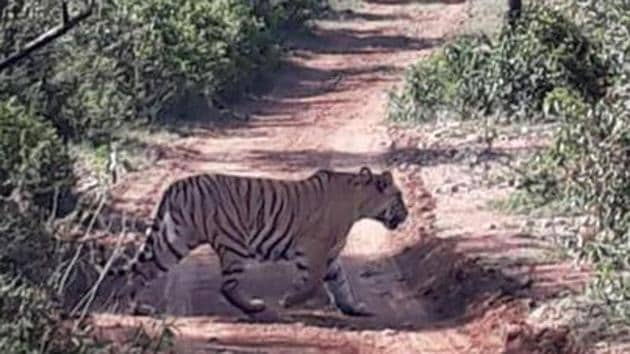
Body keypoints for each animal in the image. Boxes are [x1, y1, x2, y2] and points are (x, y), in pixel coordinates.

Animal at [105, 166, 410, 318]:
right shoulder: (314, 249)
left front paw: (354, 308)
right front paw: (289, 300)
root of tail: (176, 184)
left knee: (142, 270)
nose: (407, 214)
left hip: (174, 240)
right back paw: (253, 307)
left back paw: (136, 308)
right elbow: (312, 283)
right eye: (399, 197)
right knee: (227, 286)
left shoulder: (331, 255)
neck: (359, 202)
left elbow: (341, 284)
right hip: (233, 244)